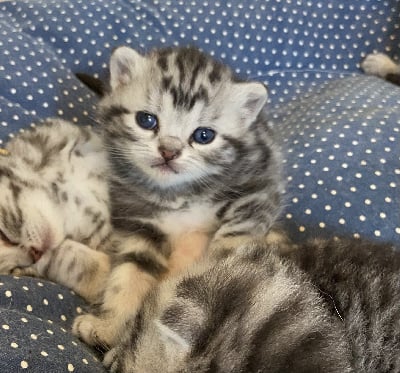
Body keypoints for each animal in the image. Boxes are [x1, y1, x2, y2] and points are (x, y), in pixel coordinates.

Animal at [72, 45, 284, 346]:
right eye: (146, 120)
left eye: (204, 135)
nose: (169, 151)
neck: (178, 194)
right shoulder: (141, 223)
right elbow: (130, 273)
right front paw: (110, 326)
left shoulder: (257, 188)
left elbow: (234, 238)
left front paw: (223, 268)